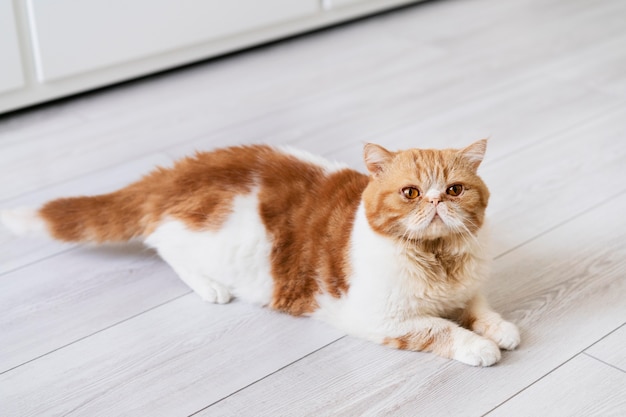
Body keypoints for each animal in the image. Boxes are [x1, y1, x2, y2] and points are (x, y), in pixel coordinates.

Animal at [1, 139, 516, 364]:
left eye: (454, 189)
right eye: (411, 193)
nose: (435, 203)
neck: (438, 258)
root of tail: (179, 171)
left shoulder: (467, 289)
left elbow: (479, 307)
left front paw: (500, 329)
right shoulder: (379, 319)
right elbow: (437, 328)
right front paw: (479, 346)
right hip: (210, 241)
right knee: (165, 246)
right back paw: (210, 287)